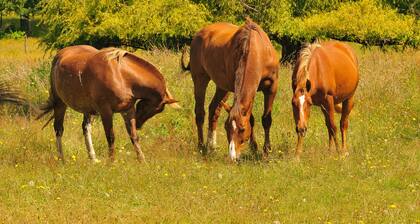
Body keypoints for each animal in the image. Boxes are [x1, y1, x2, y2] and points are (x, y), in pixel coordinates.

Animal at [36, 44, 179, 162]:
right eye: (156, 109)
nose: (139, 124)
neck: (121, 76)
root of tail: (60, 55)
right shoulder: (106, 111)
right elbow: (110, 137)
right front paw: (111, 162)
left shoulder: (128, 110)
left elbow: (133, 136)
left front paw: (142, 160)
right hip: (60, 103)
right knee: (59, 129)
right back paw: (62, 159)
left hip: (87, 109)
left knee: (85, 128)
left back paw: (93, 159)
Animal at [182, 18, 280, 161]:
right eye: (226, 127)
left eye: (242, 129)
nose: (232, 156)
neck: (257, 50)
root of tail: (199, 34)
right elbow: (251, 118)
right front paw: (255, 148)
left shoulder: (271, 87)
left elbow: (266, 119)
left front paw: (266, 151)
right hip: (200, 79)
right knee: (200, 112)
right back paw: (201, 146)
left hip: (222, 87)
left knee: (213, 110)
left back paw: (211, 145)